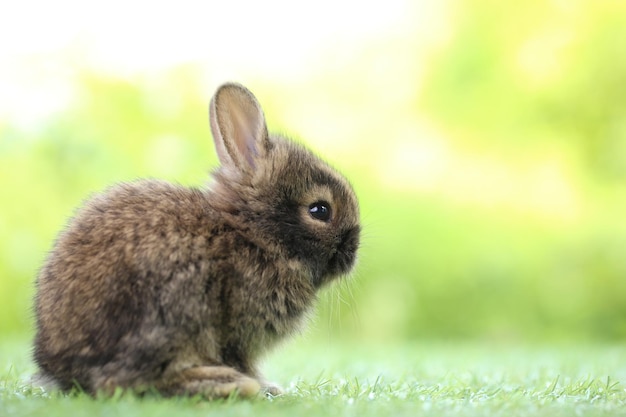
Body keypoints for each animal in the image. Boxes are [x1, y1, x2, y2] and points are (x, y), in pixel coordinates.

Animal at [33, 83, 360, 398]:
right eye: (320, 210)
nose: (354, 250)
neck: (252, 233)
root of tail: (61, 367)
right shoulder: (238, 334)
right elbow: (243, 361)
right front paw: (267, 387)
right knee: (120, 382)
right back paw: (227, 384)